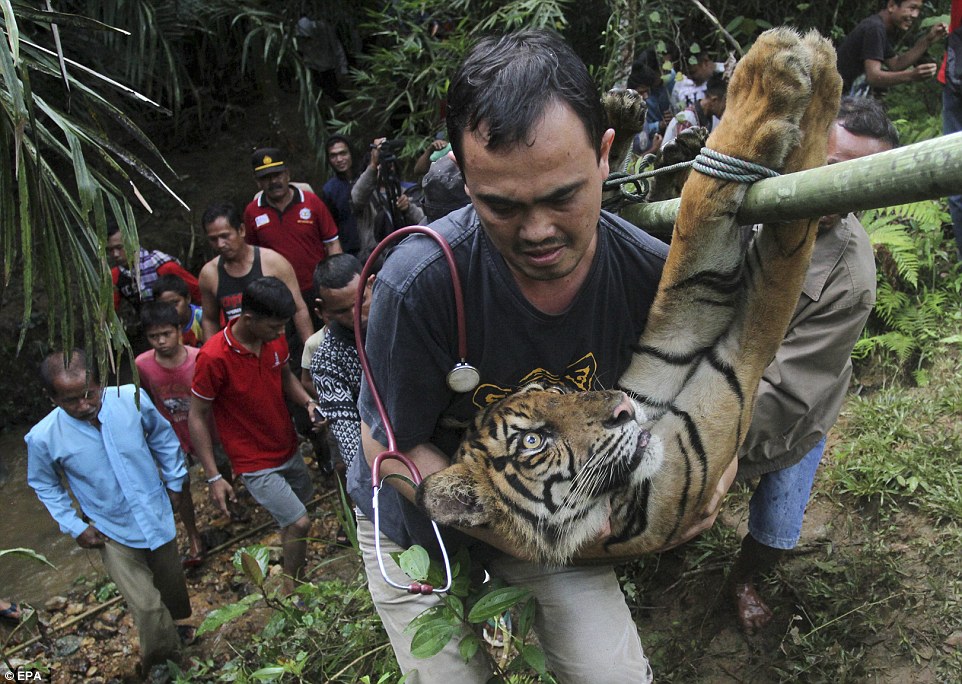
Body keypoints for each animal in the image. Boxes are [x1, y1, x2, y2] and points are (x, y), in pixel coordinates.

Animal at [416, 28, 843, 566]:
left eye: (559, 392)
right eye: (533, 440)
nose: (620, 408)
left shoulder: (663, 356)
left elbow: (690, 251)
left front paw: (808, 66)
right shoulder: (727, 391)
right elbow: (776, 252)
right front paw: (782, 73)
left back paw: (637, 126)